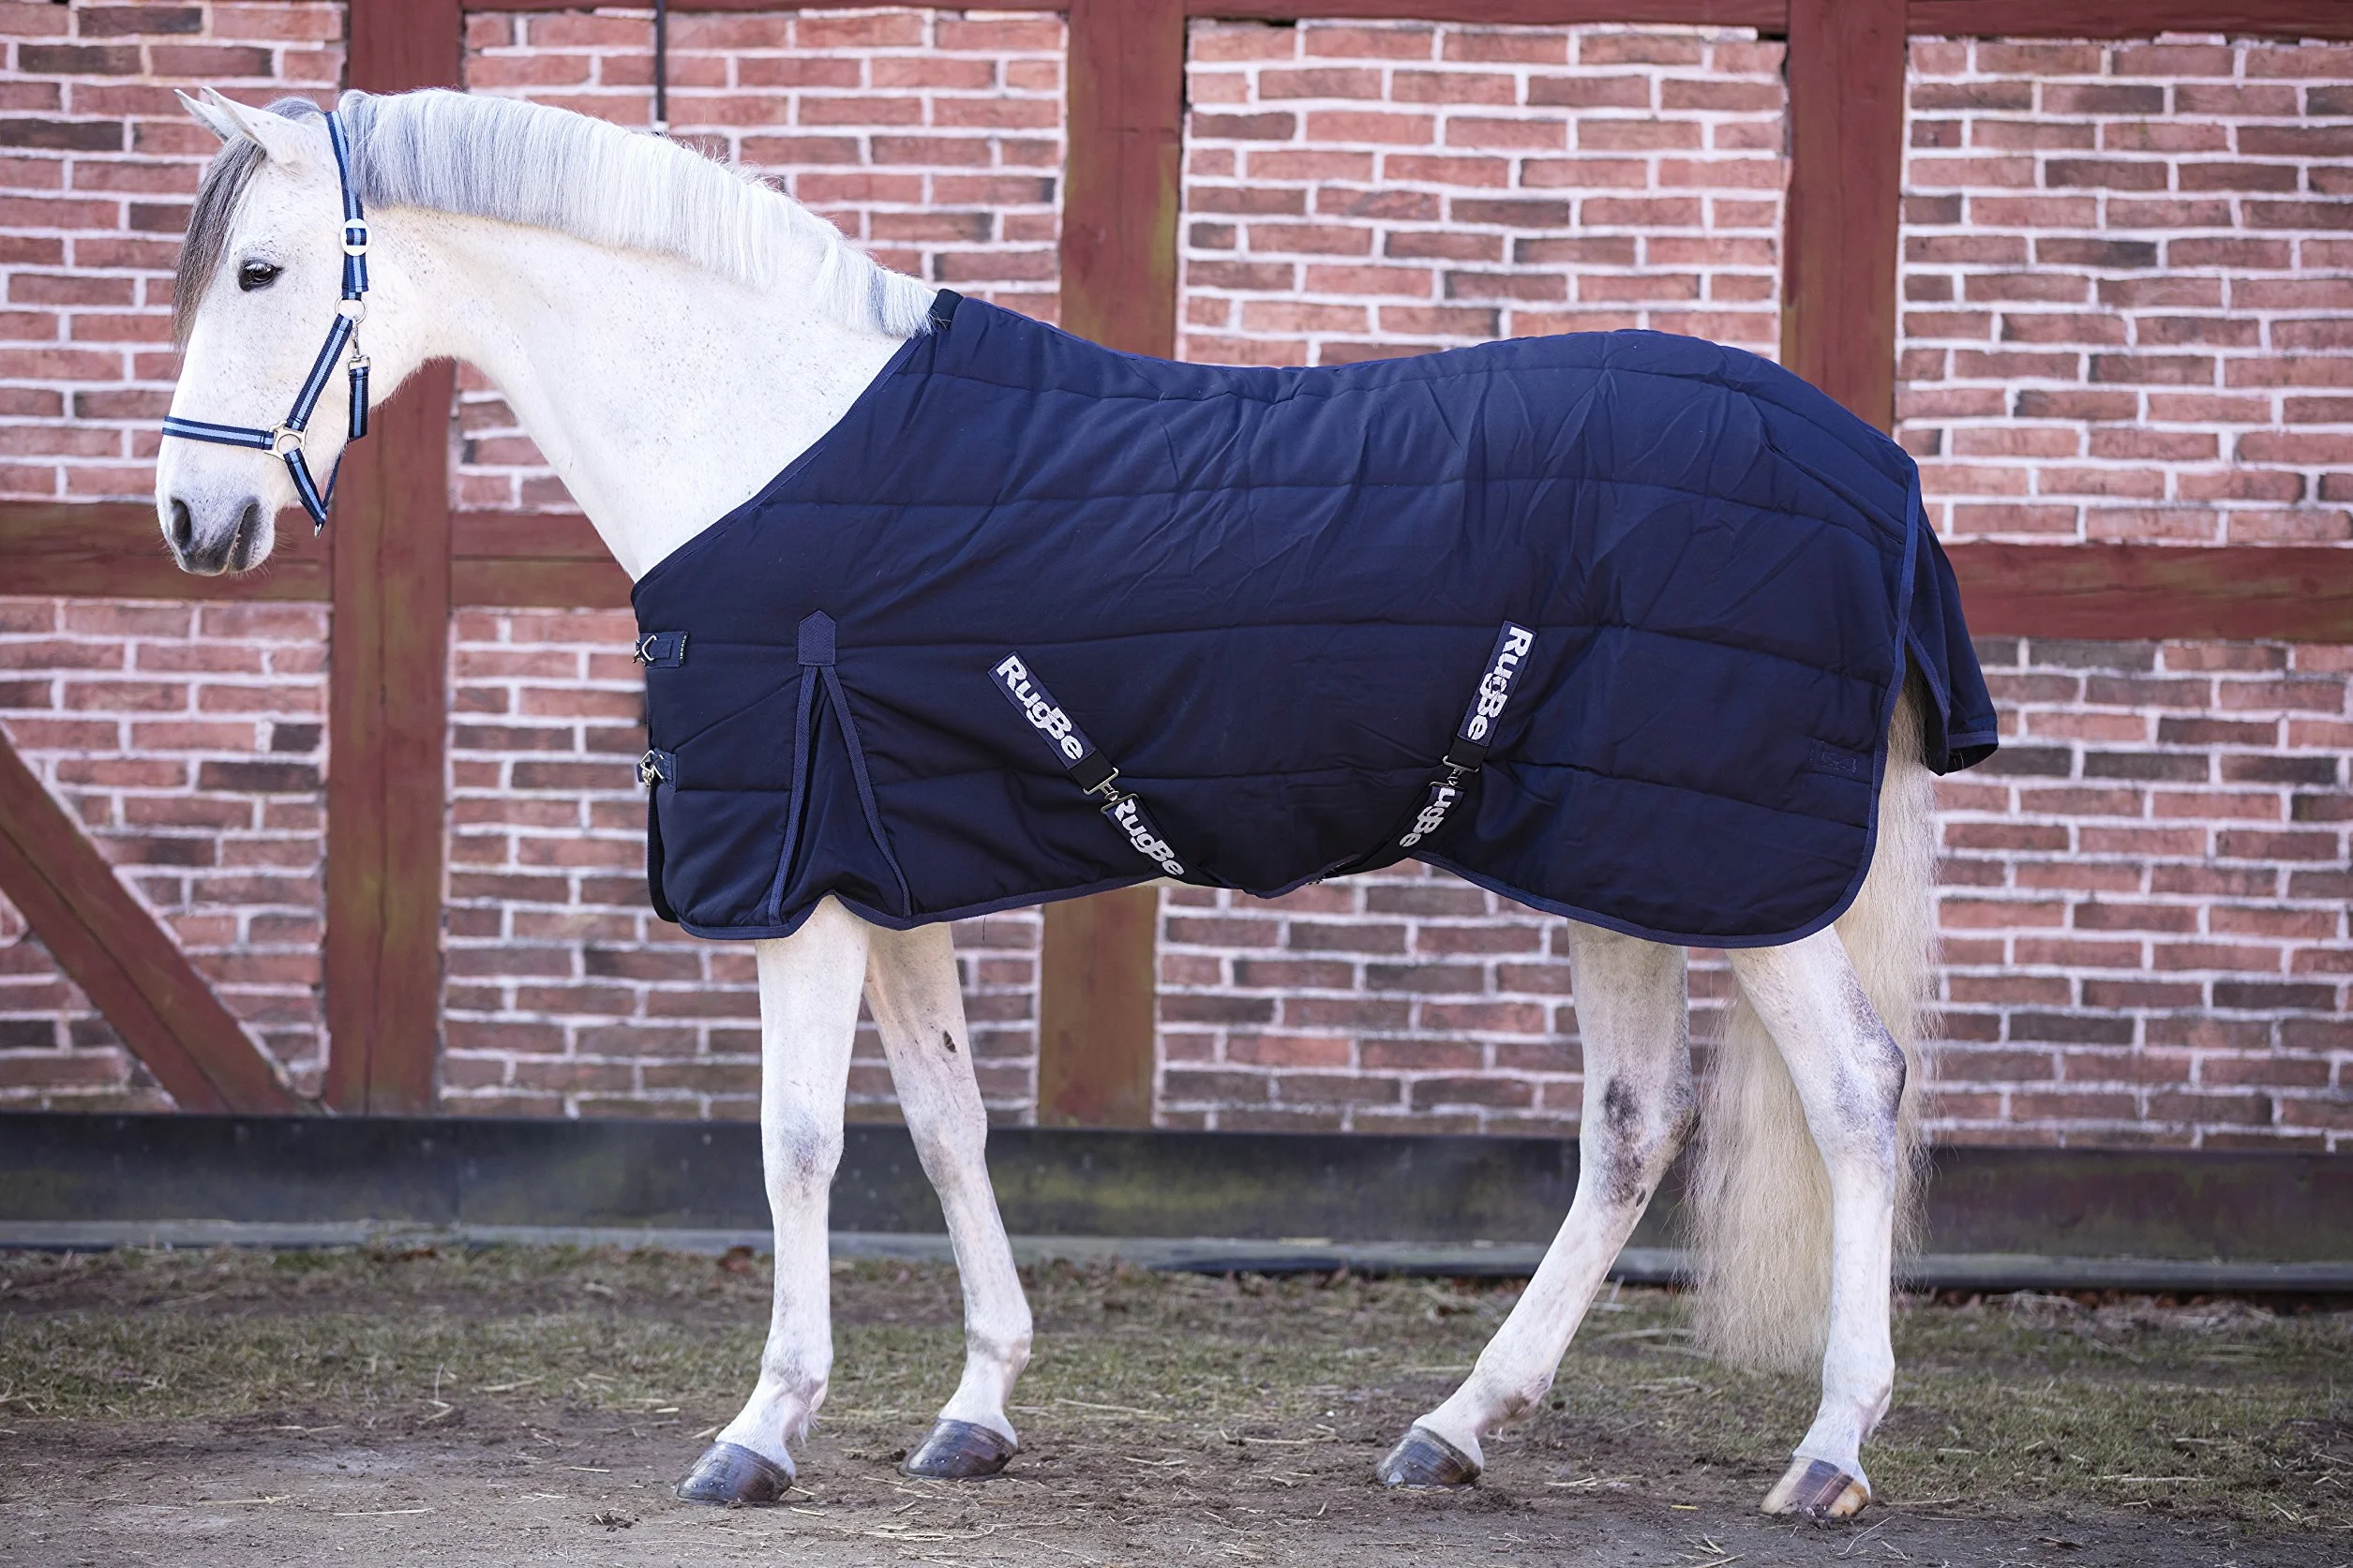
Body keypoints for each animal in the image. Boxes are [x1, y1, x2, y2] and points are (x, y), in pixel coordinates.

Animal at [155, 86, 1995, 1520]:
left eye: (260, 270)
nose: (189, 518)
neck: (759, 433)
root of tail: (1873, 470)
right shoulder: (883, 873)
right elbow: (947, 1125)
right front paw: (974, 1409)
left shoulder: (802, 883)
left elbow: (801, 1141)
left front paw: (761, 1431)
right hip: (1619, 866)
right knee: (1631, 1128)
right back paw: (1455, 1429)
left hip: (1726, 871)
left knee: (1853, 1094)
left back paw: (1828, 1454)